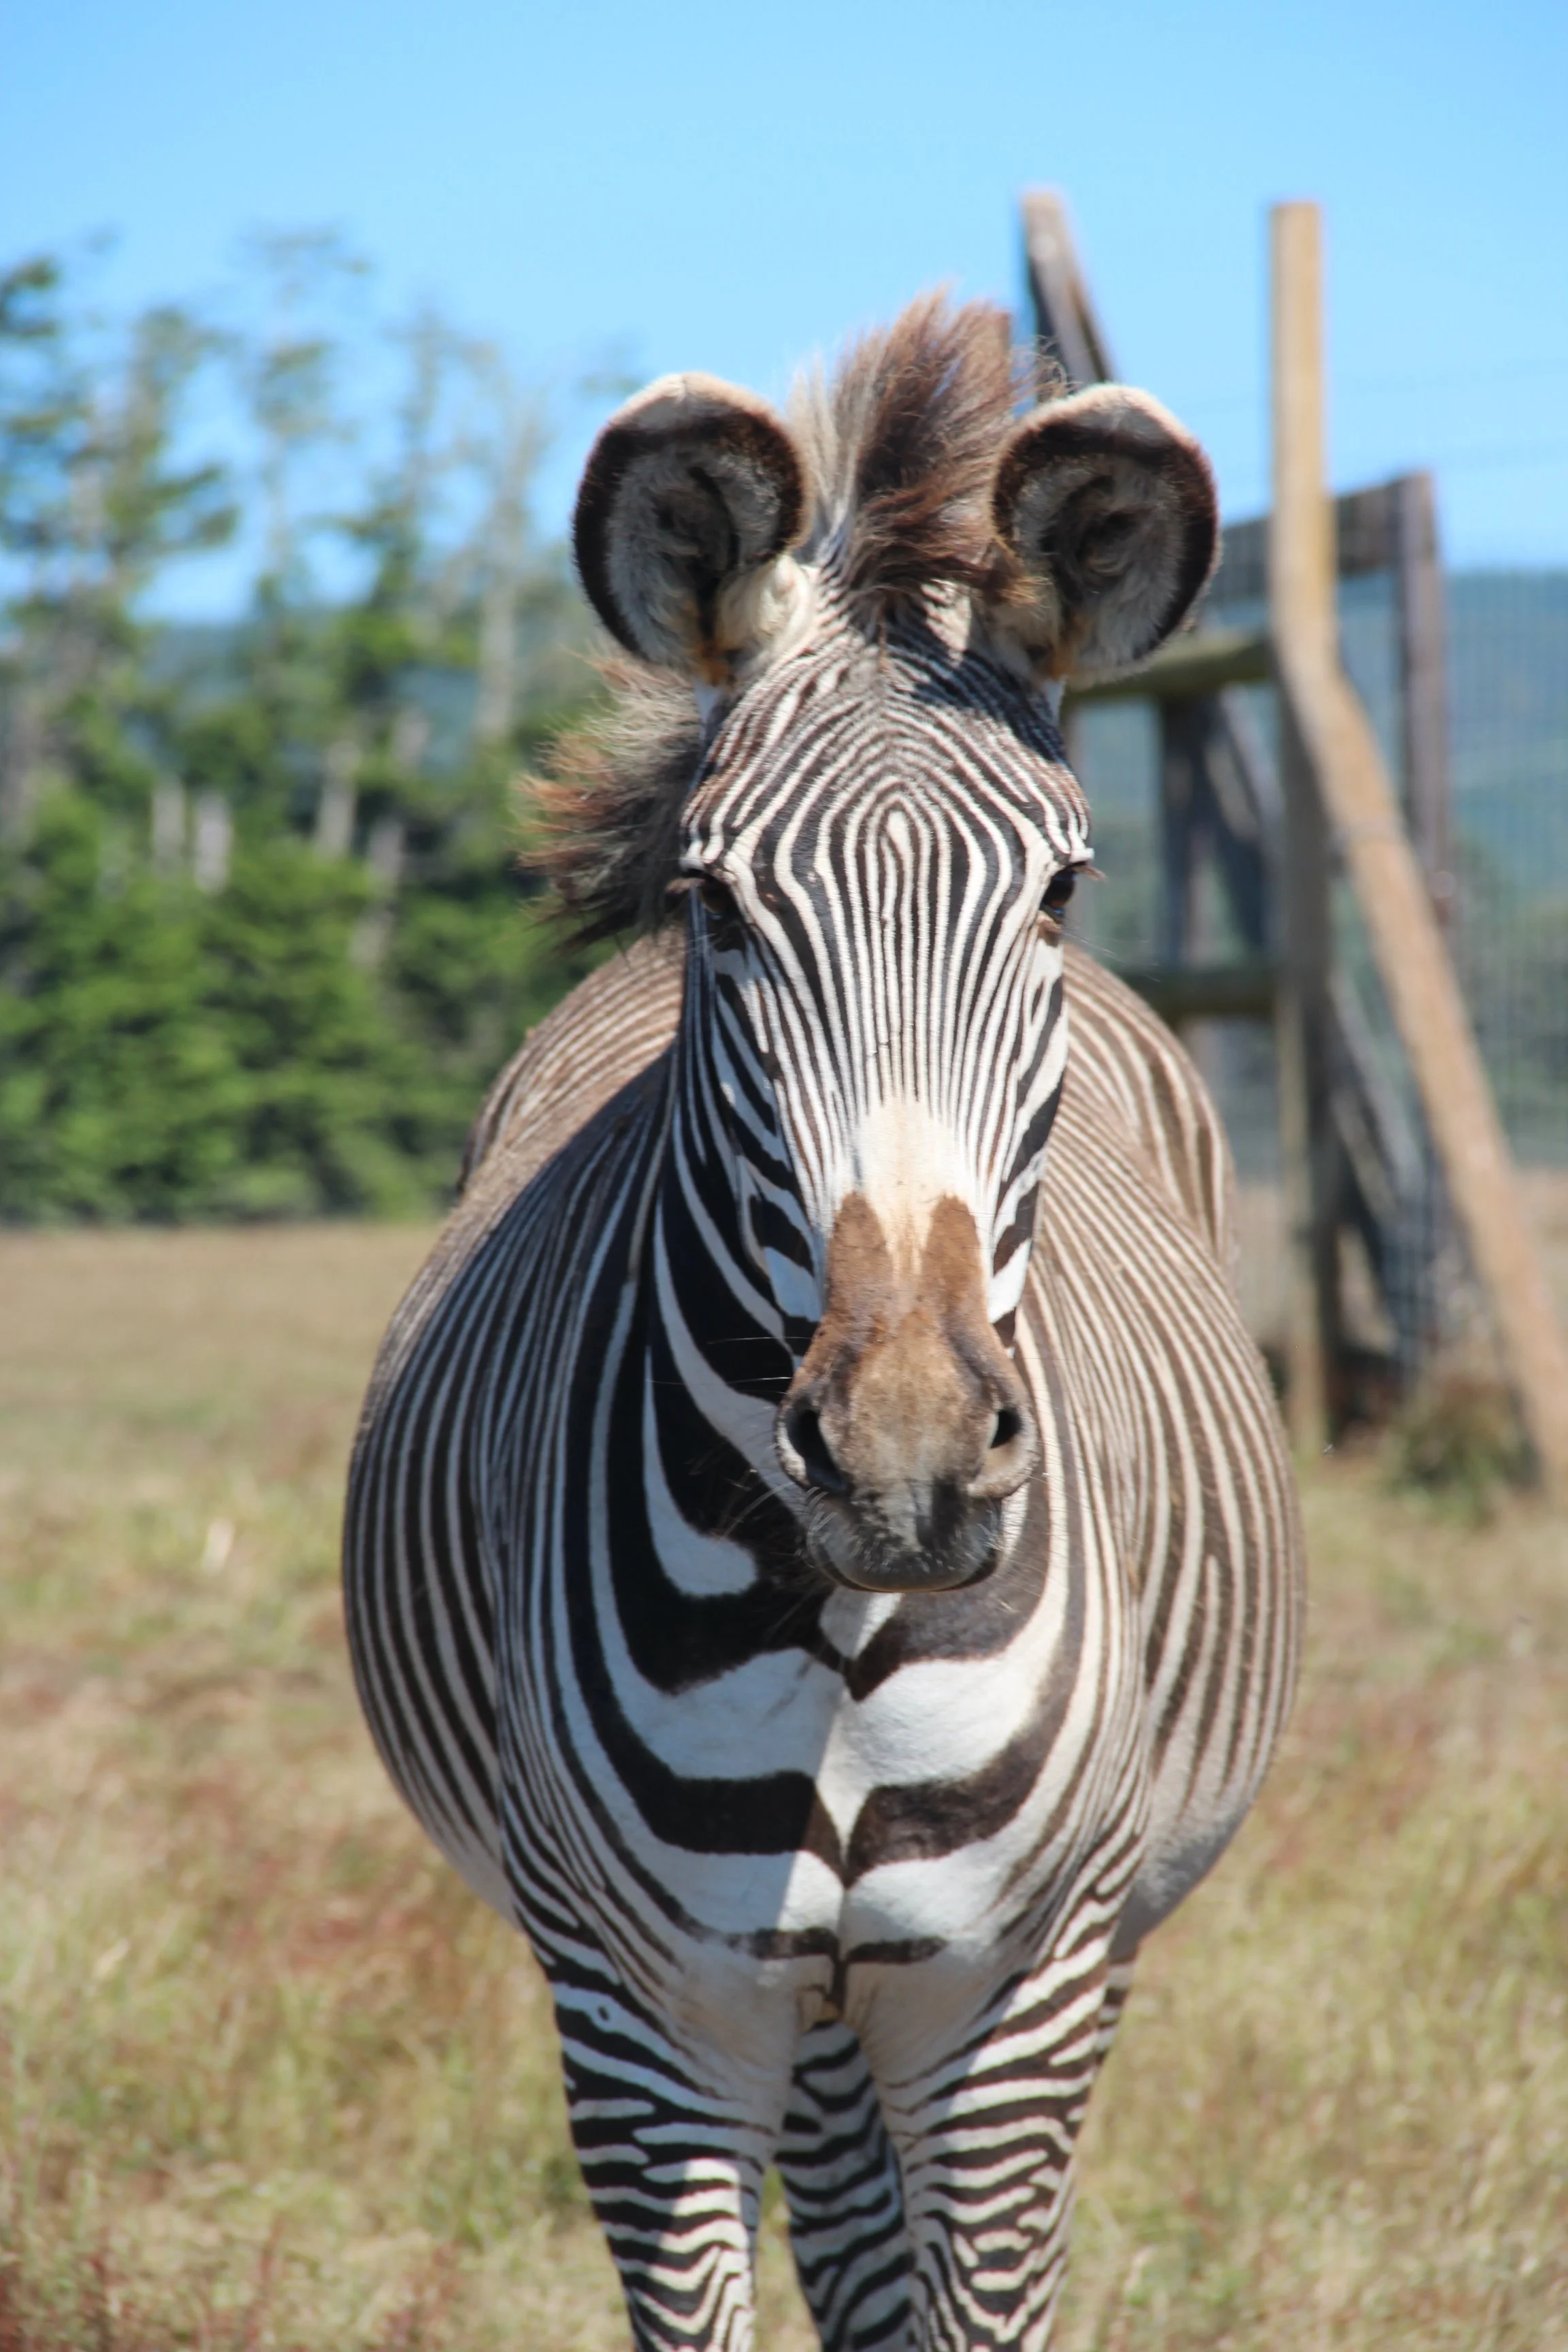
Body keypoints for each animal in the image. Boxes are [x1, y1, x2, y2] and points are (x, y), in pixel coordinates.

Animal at [344, 296, 1304, 2351]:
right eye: (719, 901)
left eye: (1061, 889)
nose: (907, 1462)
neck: (848, 1620)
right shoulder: (647, 2019)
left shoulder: (1010, 2008)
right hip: (796, 2009)